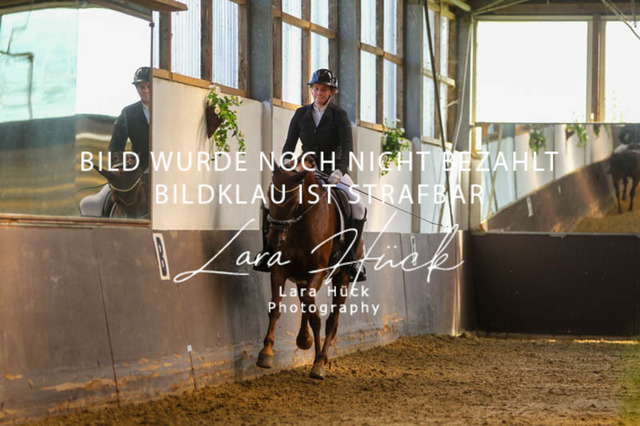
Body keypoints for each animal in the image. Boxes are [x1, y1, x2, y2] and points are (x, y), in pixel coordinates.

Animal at [256, 156, 363, 380]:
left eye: (293, 201)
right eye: (270, 196)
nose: (274, 238)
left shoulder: (318, 272)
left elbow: (316, 316)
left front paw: (318, 363)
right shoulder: (280, 269)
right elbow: (276, 307)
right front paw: (266, 353)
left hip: (342, 278)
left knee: (332, 320)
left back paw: (321, 358)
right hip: (301, 277)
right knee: (306, 304)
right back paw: (305, 341)